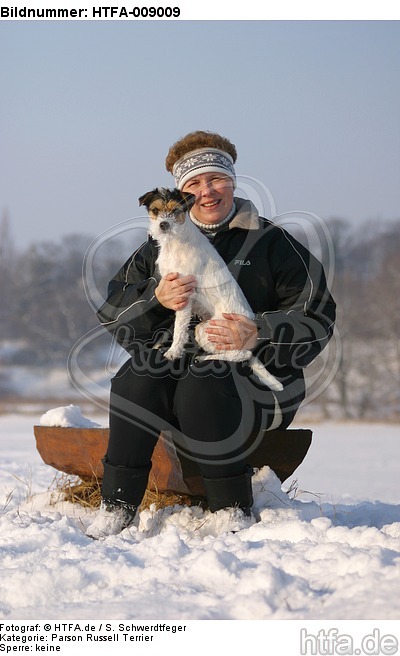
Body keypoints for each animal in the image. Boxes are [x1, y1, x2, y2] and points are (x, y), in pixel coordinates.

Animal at [139, 186, 282, 390]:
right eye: (155, 210)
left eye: (176, 211)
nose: (163, 225)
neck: (175, 242)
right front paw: (160, 345)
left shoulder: (185, 293)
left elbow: (179, 328)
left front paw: (174, 352)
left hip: (207, 330)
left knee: (241, 355)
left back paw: (206, 357)